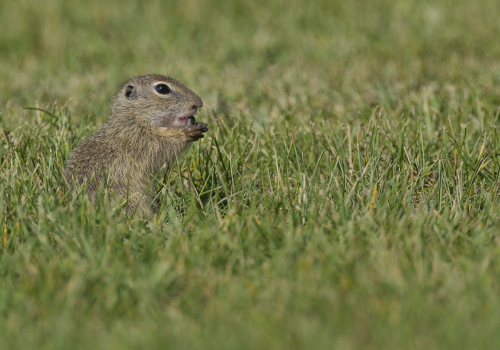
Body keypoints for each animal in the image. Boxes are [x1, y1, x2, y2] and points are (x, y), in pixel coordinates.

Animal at [65, 75, 209, 215]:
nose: (199, 103)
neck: (134, 118)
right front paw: (186, 133)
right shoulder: (141, 138)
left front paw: (199, 124)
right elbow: (164, 143)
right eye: (162, 88)